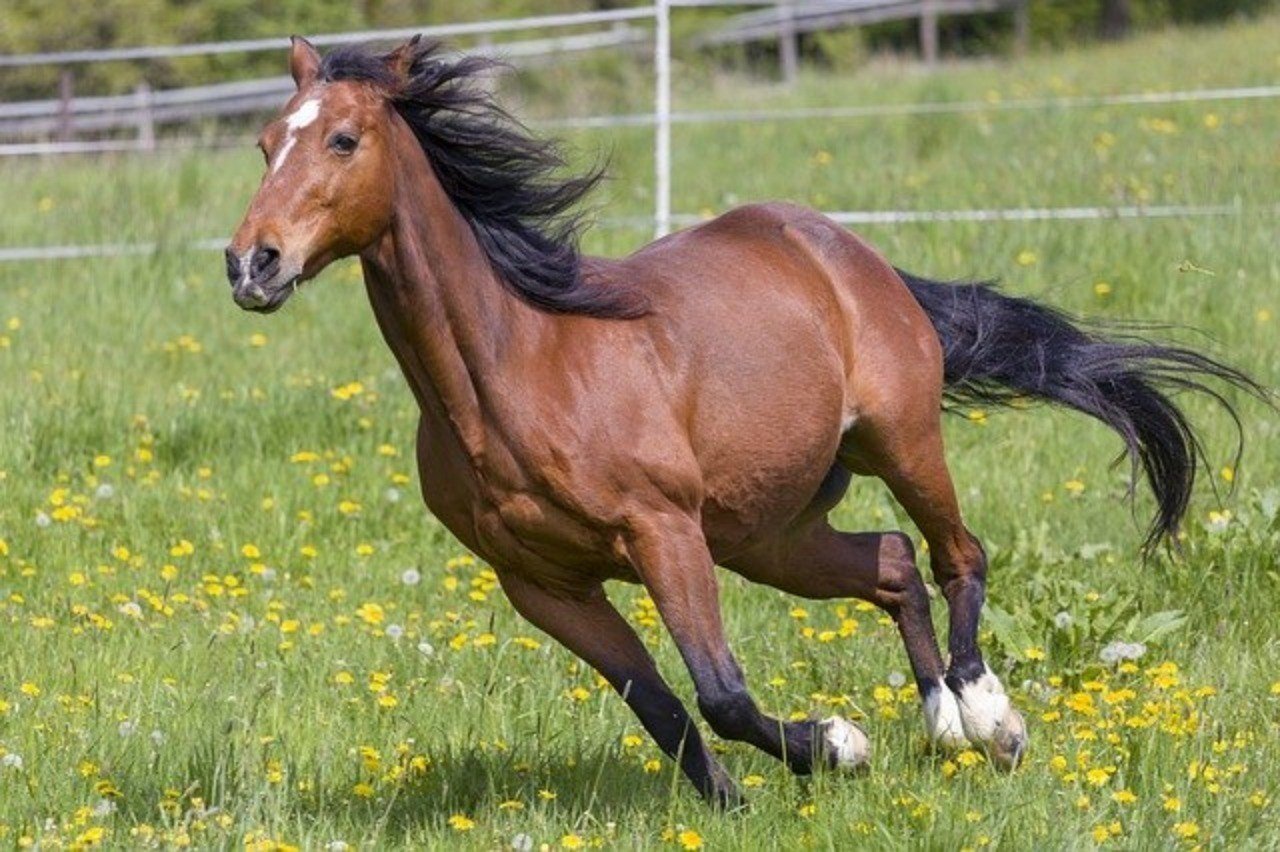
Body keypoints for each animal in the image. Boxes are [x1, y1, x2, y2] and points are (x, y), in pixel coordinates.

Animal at [227, 34, 1259, 803]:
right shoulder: (542, 584)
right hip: (769, 533)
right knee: (893, 565)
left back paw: (989, 721)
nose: (252, 263)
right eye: (268, 141)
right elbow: (660, 707)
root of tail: (847, 251)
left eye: (343, 140)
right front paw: (734, 799)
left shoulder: (662, 532)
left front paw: (839, 744)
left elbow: (719, 691)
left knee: (956, 555)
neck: (515, 371)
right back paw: (939, 729)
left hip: (897, 443)